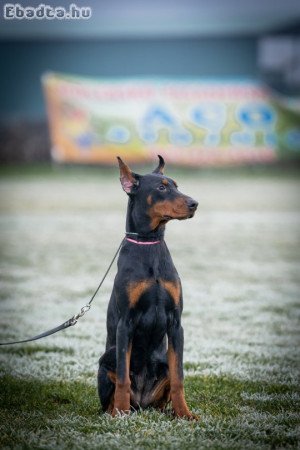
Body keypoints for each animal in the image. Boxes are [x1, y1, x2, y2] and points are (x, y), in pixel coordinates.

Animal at [97, 156, 198, 420]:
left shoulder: (176, 323)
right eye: (161, 187)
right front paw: (121, 413)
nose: (194, 203)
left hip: (162, 361)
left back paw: (169, 411)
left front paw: (185, 414)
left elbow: (179, 377)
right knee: (111, 392)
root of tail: (142, 401)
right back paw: (117, 411)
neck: (149, 243)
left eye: (176, 185)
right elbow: (123, 377)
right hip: (106, 358)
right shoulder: (126, 323)